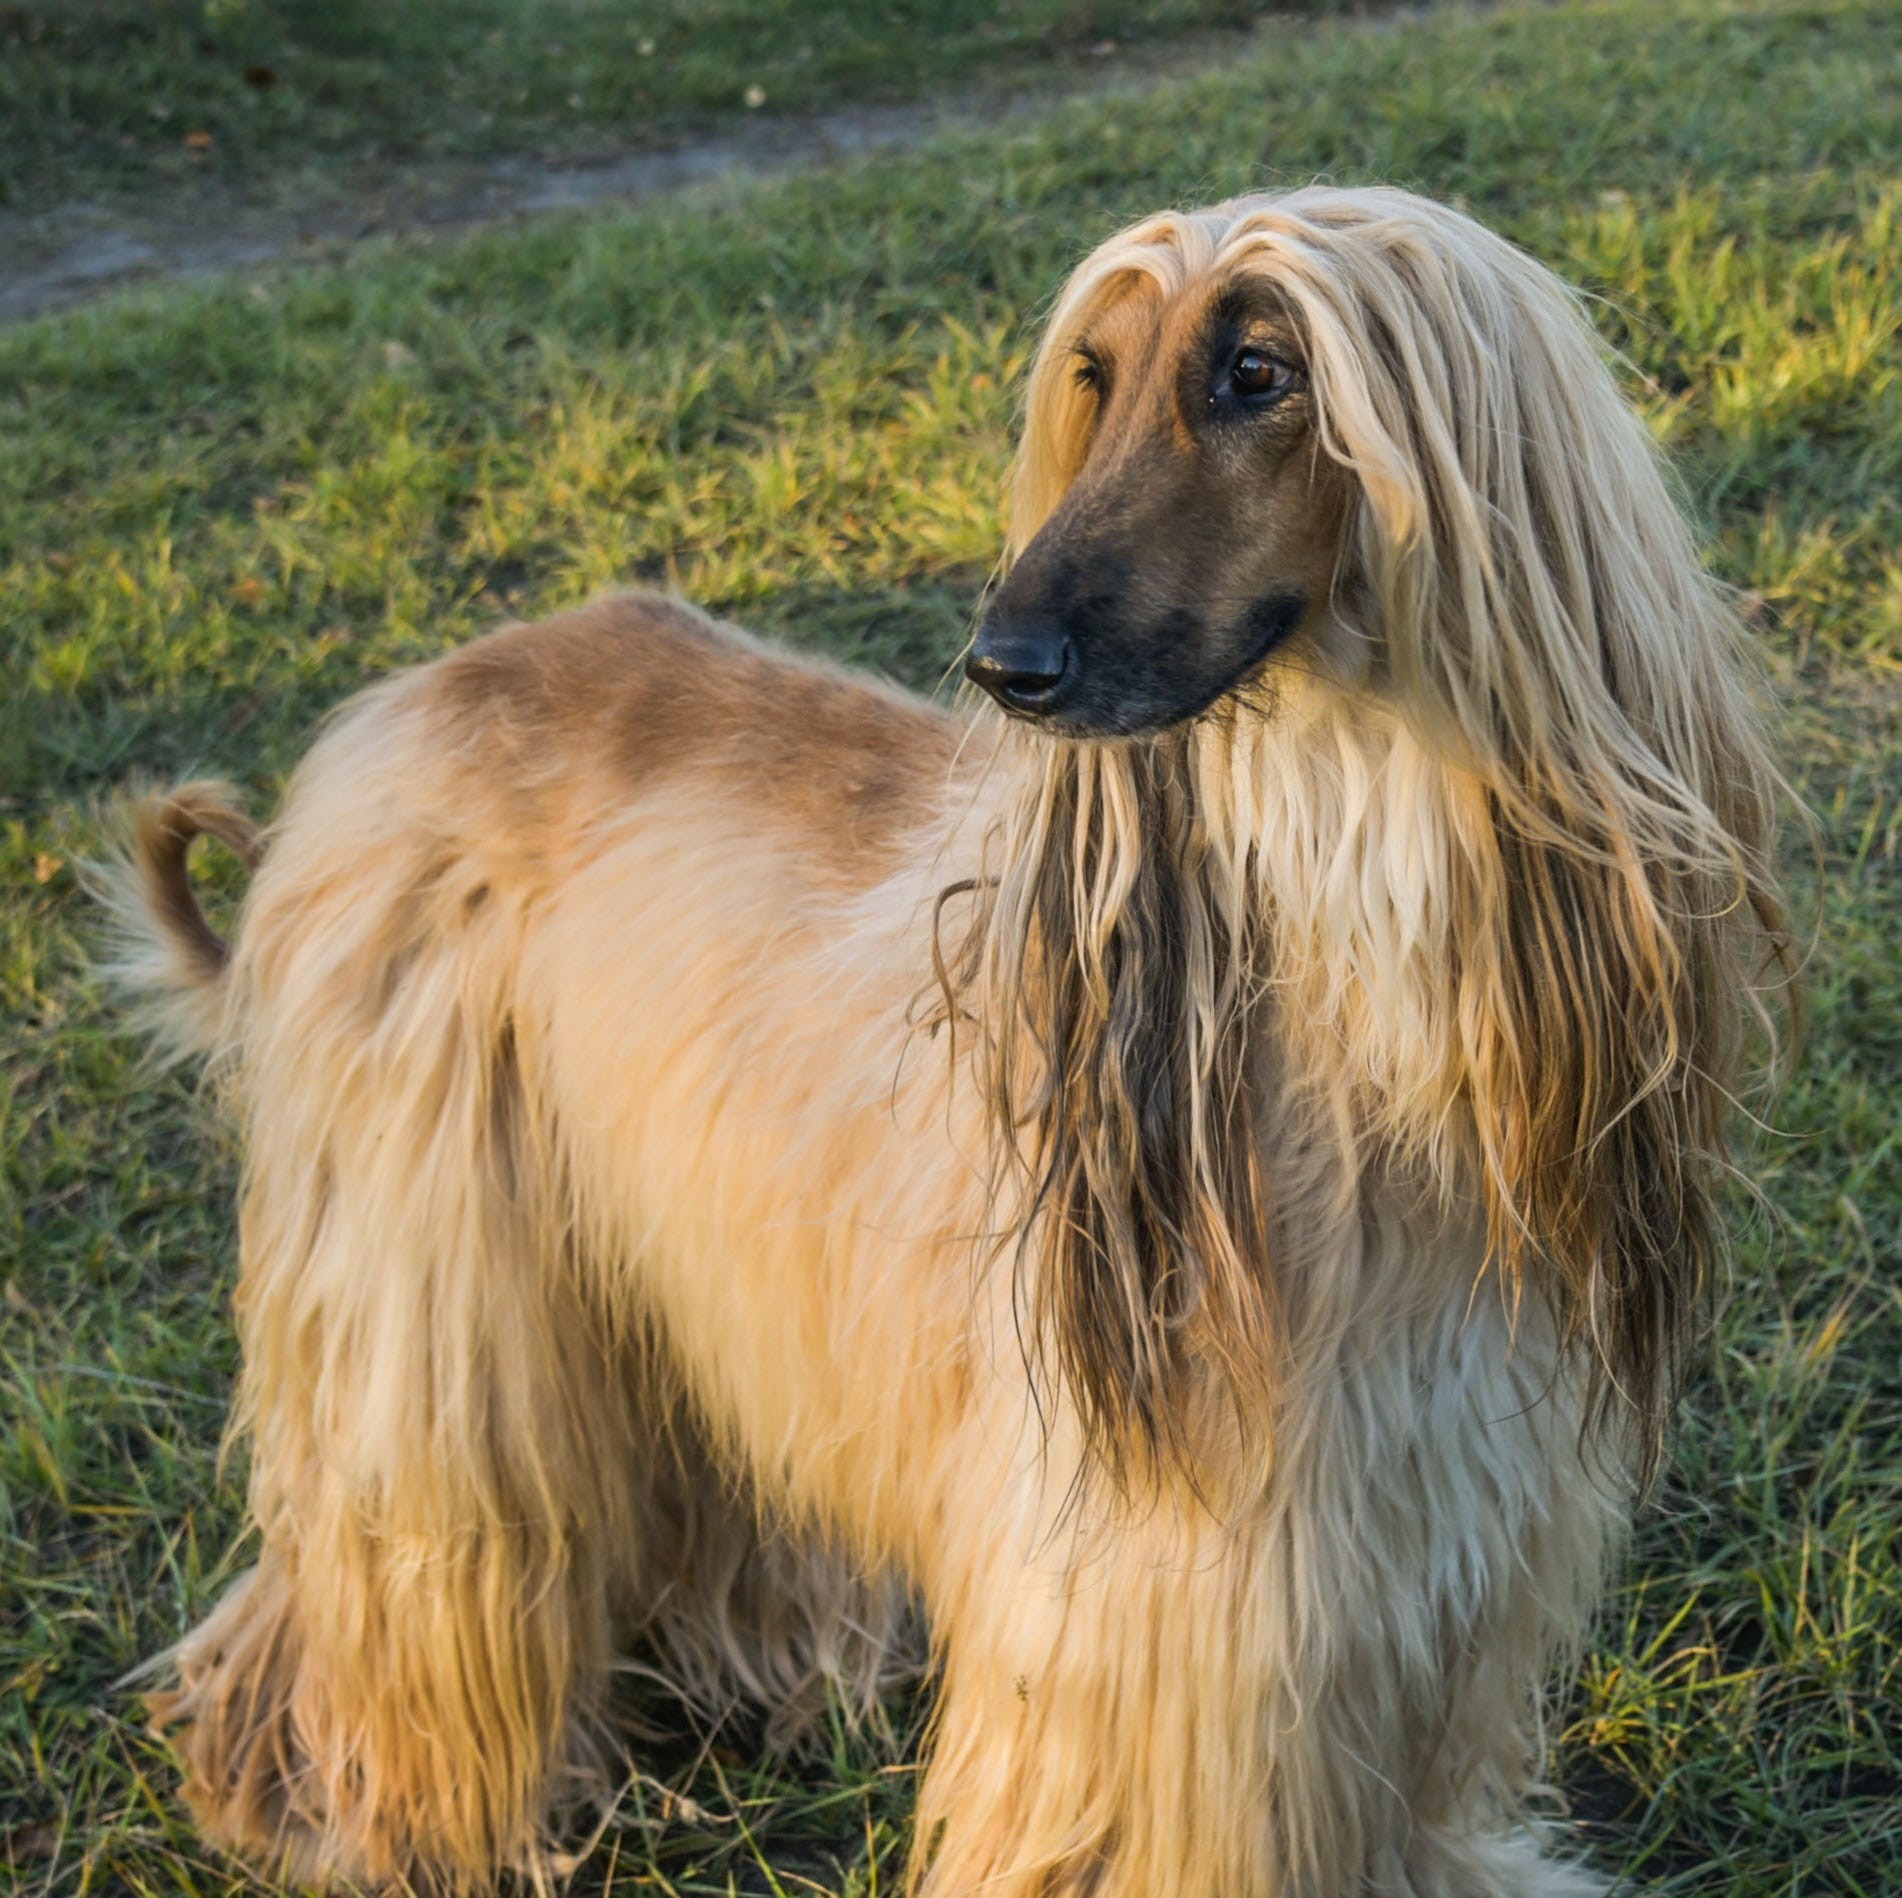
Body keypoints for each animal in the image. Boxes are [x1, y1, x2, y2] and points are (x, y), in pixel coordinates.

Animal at [111, 189, 1787, 1898]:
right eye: (1093, 377)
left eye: (1259, 372)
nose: (1005, 663)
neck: (1353, 988)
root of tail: (407, 700)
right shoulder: (1175, 1581)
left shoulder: (1416, 1534)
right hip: (430, 1261)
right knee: (406, 1549)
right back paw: (353, 1793)